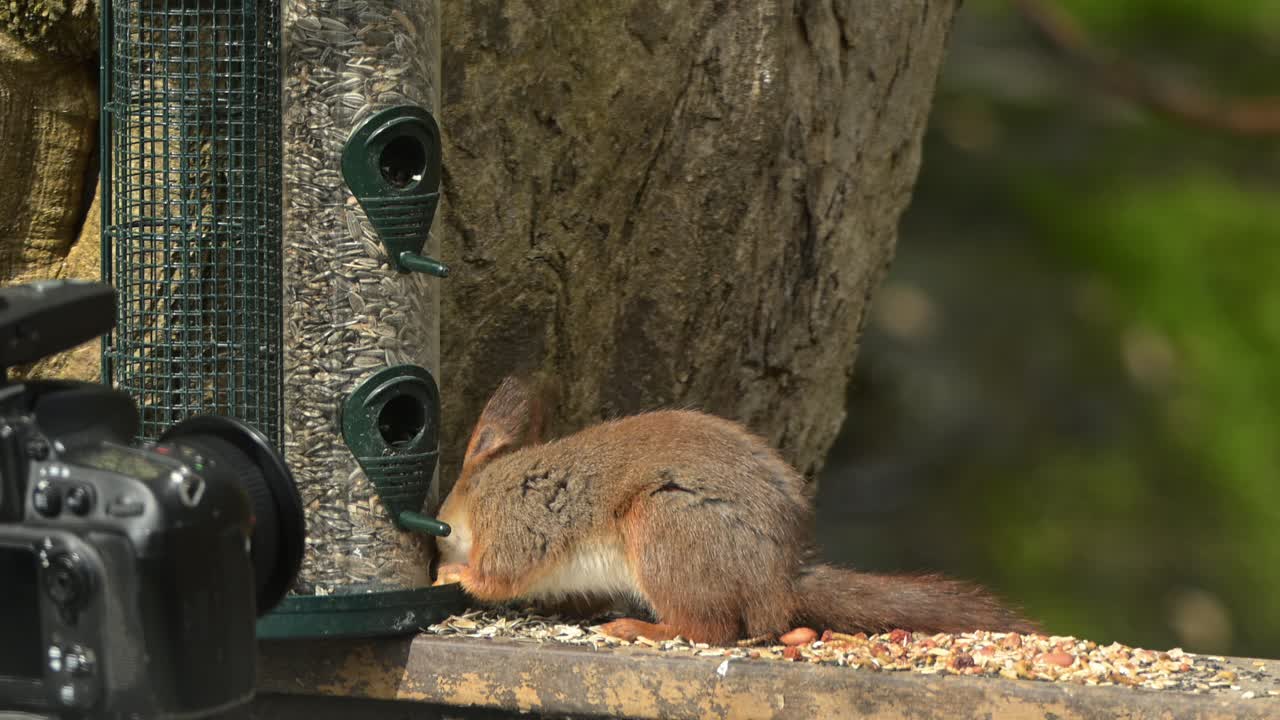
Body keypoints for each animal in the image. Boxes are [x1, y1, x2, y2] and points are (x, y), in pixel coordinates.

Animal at [433, 376, 1039, 645]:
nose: (436, 548)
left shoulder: (517, 527)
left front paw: (452, 573)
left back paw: (637, 626)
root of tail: (777, 582)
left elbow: (498, 576)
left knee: (709, 628)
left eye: (441, 529)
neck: (484, 491)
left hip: (667, 531)